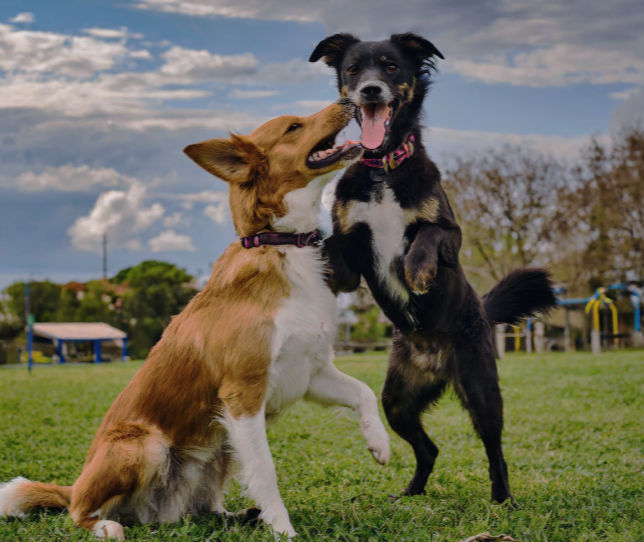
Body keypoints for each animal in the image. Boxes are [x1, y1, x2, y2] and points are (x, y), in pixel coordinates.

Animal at [0, 101, 388, 540]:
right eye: (294, 127)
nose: (351, 100)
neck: (281, 244)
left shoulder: (310, 372)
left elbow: (364, 392)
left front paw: (380, 443)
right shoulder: (243, 394)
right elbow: (266, 471)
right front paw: (284, 529)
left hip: (220, 446)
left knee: (199, 508)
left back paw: (236, 515)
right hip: (145, 444)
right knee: (79, 510)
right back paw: (106, 526)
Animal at [310, 31, 556, 504]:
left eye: (390, 67)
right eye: (353, 69)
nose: (370, 90)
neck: (385, 167)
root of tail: (433, 357)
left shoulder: (450, 234)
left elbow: (426, 236)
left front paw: (417, 271)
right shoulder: (348, 251)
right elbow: (331, 245)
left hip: (480, 388)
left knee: (495, 449)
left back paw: (503, 500)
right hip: (398, 400)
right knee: (429, 449)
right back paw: (410, 493)